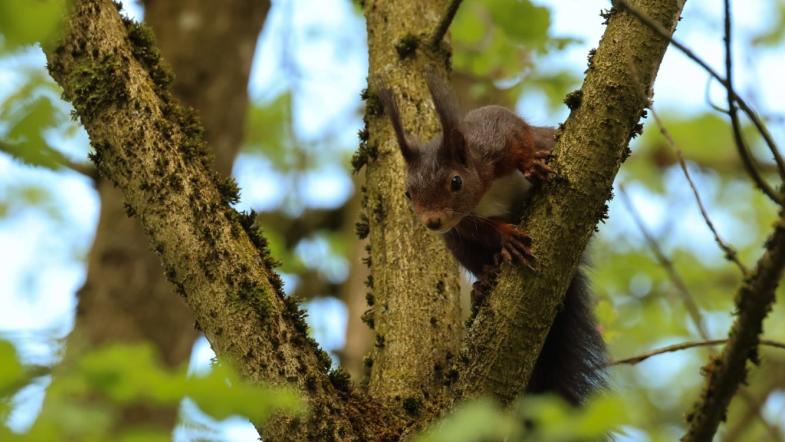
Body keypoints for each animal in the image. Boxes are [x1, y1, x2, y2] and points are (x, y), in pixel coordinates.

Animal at [379, 72, 607, 405]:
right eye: (408, 193)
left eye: (455, 182)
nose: (433, 222)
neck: (482, 191)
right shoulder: (462, 225)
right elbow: (483, 230)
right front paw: (505, 237)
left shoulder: (494, 135)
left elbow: (516, 134)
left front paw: (530, 163)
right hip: (456, 244)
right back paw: (485, 282)